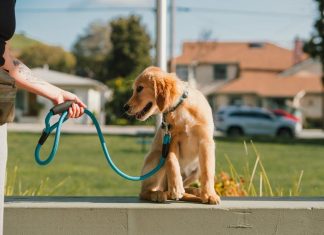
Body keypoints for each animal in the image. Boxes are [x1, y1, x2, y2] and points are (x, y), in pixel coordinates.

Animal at [124, 65, 220, 204]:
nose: (125, 107)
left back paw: (195, 192)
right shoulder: (171, 138)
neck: (180, 108)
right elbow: (171, 161)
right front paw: (176, 188)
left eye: (140, 88)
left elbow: (207, 170)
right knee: (145, 192)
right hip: (157, 156)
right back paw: (158, 194)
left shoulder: (206, 141)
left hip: (196, 167)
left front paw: (209, 194)